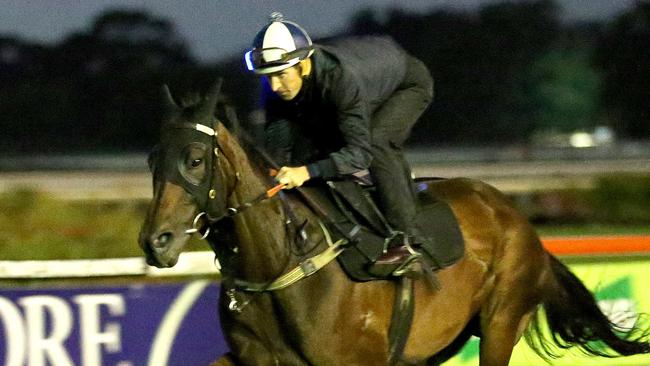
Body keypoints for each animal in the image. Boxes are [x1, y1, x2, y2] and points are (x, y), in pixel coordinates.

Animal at [138, 81, 648, 364]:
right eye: (152, 158)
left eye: (195, 158)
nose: (155, 241)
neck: (281, 263)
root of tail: (518, 220)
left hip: (502, 320)